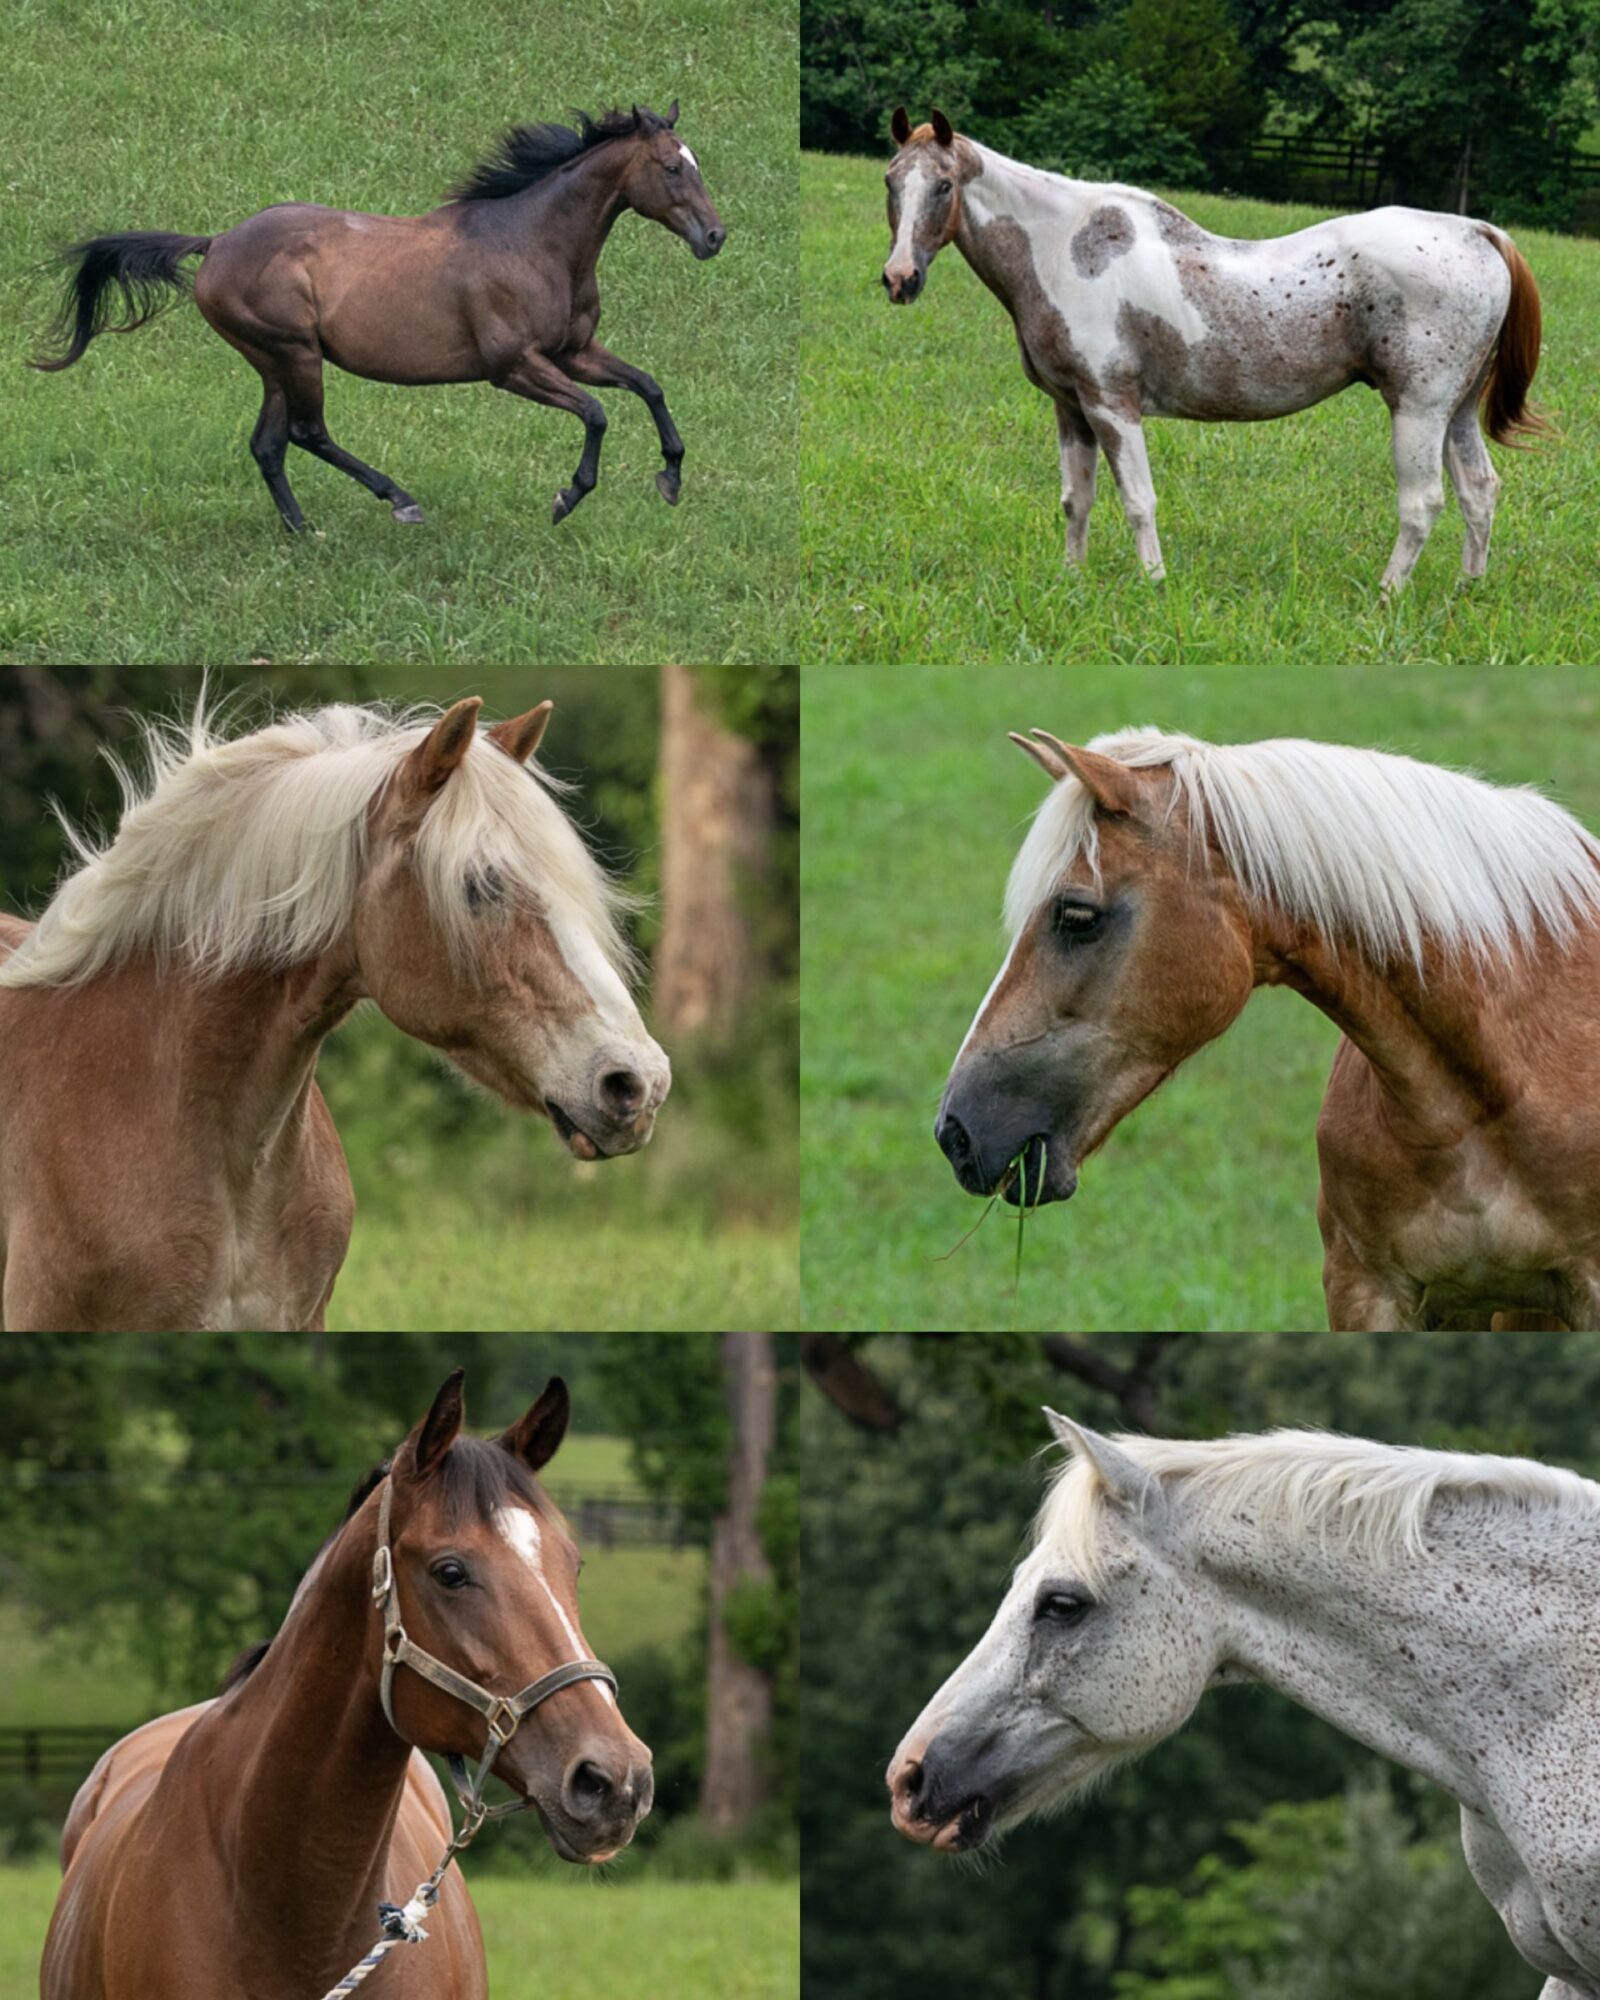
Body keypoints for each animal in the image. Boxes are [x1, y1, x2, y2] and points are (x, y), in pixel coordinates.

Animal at [32, 103, 725, 532]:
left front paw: (669, 478)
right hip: (293, 353)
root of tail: (216, 243)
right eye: (672, 167)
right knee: (307, 433)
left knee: (269, 444)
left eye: (695, 162)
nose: (715, 237)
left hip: (274, 362)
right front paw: (567, 497)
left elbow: (649, 387)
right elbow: (597, 413)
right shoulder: (514, 368)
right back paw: (399, 502)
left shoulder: (573, 352)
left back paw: (303, 529)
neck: (533, 243)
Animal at [880, 108, 1550, 590]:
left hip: (1419, 409)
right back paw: (1468, 590)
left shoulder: (1111, 404)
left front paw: (1155, 585)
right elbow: (1077, 500)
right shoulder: (1070, 408)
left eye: (943, 185)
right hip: (1456, 411)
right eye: (890, 181)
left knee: (1422, 504)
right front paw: (1072, 580)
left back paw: (1386, 597)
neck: (1065, 248)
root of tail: (1475, 231)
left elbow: (1138, 502)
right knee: (1479, 490)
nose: (899, 278)